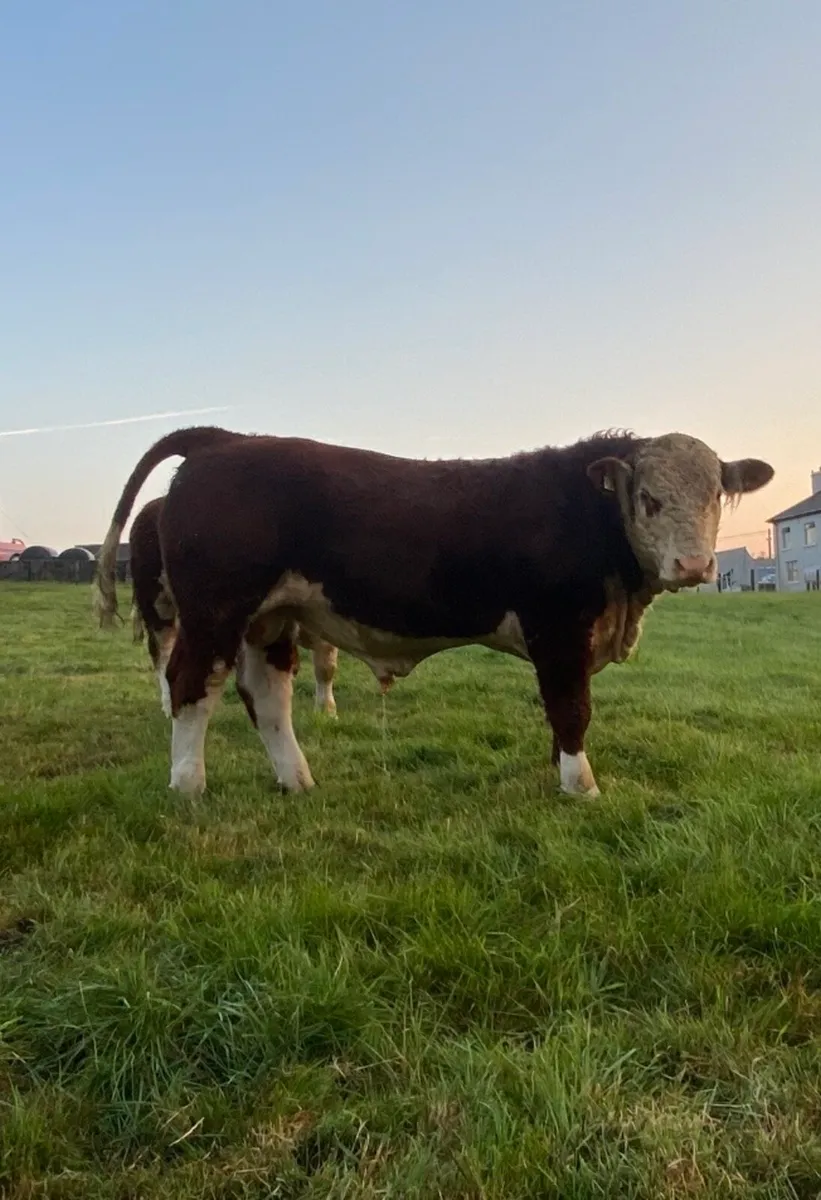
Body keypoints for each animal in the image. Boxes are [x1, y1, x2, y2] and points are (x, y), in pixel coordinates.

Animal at [129, 495, 340, 719]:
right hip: (155, 600)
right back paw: (168, 704)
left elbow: (326, 667)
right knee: (161, 650)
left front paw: (327, 710)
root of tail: (151, 506)